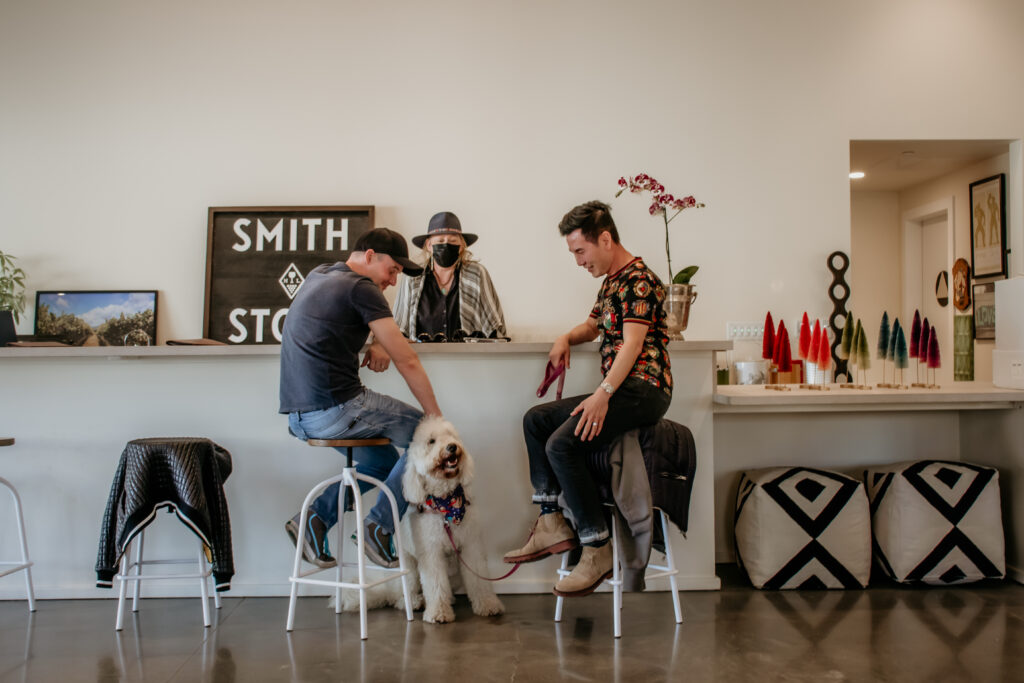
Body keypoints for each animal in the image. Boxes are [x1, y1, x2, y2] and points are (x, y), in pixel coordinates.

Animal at [339, 417, 503, 626]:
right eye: (431, 441)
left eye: (451, 435)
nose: (452, 447)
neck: (446, 506)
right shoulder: (431, 552)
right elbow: (435, 583)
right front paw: (439, 613)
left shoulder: (471, 546)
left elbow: (479, 579)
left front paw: (488, 604)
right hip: (407, 569)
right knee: (400, 596)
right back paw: (416, 602)